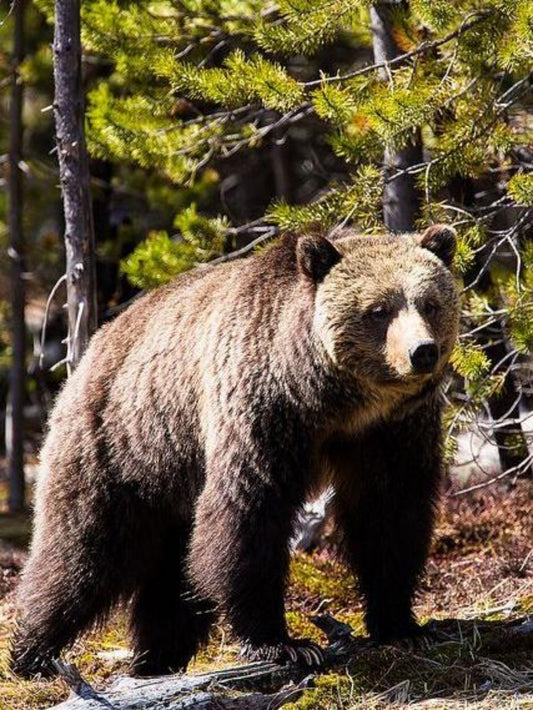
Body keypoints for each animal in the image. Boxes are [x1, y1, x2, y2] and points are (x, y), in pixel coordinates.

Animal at [11, 224, 459, 678]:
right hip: (121, 446)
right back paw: (33, 652)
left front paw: (404, 625)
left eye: (429, 303)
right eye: (378, 310)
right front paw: (282, 643)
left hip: (174, 477)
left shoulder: (389, 431)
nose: (422, 351)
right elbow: (248, 514)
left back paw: (157, 656)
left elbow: (391, 513)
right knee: (84, 550)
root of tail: (95, 344)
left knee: (172, 574)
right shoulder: (263, 411)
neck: (333, 401)